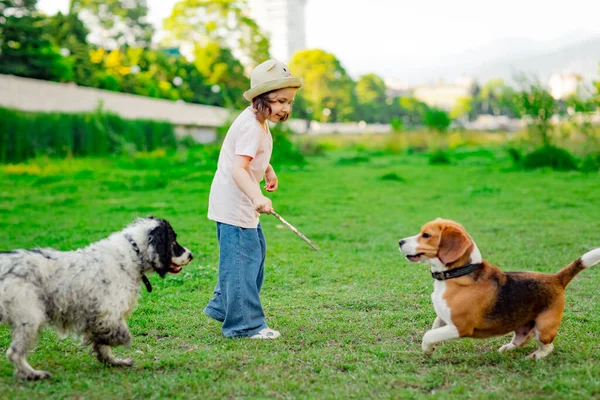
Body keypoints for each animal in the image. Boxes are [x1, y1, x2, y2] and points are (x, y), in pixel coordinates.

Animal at [0, 217, 192, 380]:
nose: (191, 255)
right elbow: (119, 336)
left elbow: (103, 345)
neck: (132, 253)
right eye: (173, 241)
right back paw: (33, 374)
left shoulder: (101, 315)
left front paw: (113, 361)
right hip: (30, 318)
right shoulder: (108, 313)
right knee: (14, 353)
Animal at [398, 219, 600, 360]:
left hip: (544, 327)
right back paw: (508, 347)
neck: (456, 274)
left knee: (548, 346)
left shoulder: (460, 327)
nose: (400, 241)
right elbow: (434, 328)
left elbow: (428, 334)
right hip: (523, 325)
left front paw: (427, 349)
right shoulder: (442, 317)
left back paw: (535, 356)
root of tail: (556, 278)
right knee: (523, 338)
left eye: (426, 235)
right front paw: (433, 347)